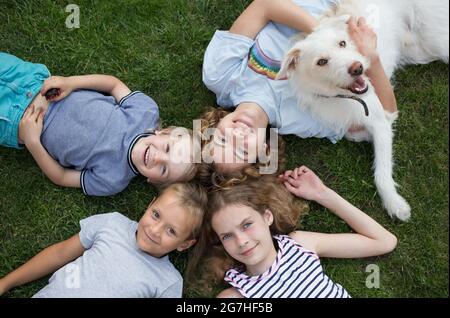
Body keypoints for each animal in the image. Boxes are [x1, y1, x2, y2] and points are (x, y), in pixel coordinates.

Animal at [276, 0, 448, 221]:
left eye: (342, 43)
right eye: (321, 61)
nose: (357, 68)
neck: (341, 96)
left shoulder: (380, 117)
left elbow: (381, 172)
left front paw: (394, 203)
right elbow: (352, 133)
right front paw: (365, 136)